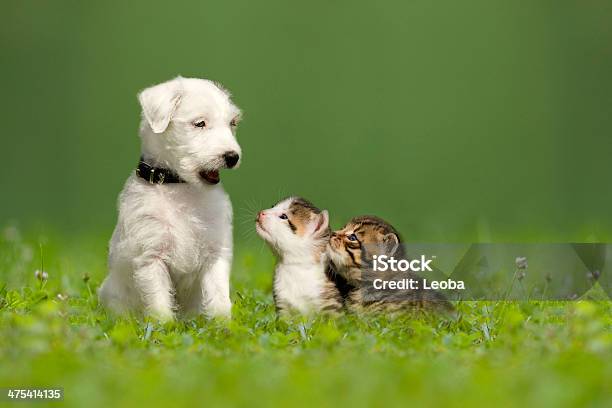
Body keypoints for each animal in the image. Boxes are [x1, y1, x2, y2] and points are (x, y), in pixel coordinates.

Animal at [98, 75, 241, 318]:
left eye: (232, 123)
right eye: (199, 123)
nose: (232, 156)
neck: (180, 187)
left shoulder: (216, 252)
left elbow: (219, 295)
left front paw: (224, 323)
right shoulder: (151, 256)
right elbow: (158, 301)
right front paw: (163, 325)